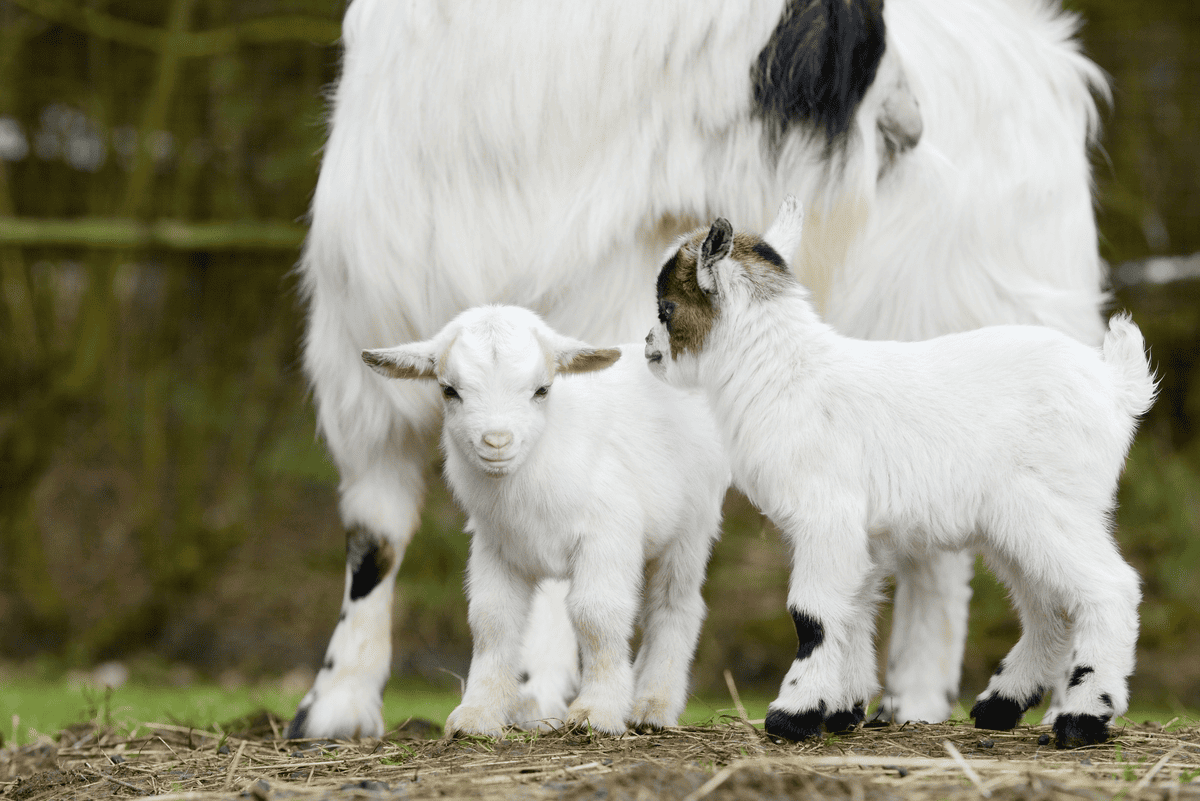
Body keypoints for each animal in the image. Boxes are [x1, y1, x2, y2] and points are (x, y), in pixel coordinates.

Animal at [288, 0, 1104, 738]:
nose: (911, 129)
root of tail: (1052, 57)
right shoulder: (364, 349)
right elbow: (375, 540)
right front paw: (334, 706)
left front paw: (536, 690)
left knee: (955, 560)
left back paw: (936, 698)